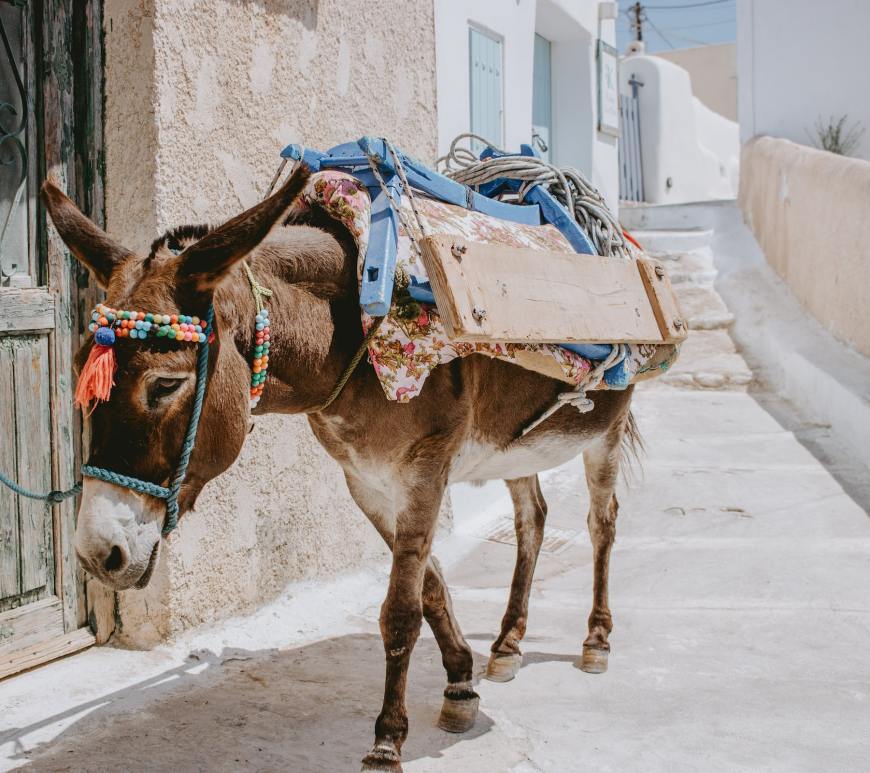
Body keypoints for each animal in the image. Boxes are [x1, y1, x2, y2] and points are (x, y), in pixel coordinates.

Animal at [42, 166, 638, 772]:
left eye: (164, 384)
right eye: (81, 371)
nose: (97, 554)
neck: (353, 330)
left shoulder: (424, 469)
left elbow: (400, 610)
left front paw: (387, 740)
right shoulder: (366, 481)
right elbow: (429, 587)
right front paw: (460, 682)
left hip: (607, 430)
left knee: (602, 523)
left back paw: (595, 641)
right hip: (517, 444)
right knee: (532, 520)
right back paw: (508, 644)